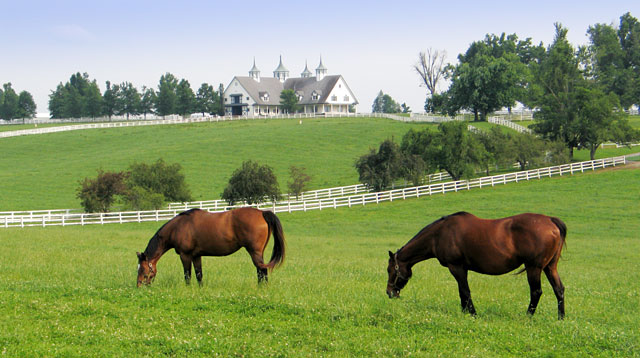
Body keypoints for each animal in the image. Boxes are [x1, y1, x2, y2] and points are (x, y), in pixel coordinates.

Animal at [137, 208, 284, 286]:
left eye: (143, 270)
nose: (139, 286)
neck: (178, 227)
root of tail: (261, 212)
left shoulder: (185, 256)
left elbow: (187, 275)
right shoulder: (196, 256)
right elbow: (199, 275)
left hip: (254, 252)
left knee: (262, 271)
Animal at [388, 211, 568, 320]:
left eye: (391, 270)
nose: (389, 292)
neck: (439, 234)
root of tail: (550, 221)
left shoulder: (456, 267)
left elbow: (465, 291)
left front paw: (472, 314)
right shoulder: (461, 269)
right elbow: (462, 292)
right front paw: (464, 312)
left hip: (534, 268)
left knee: (536, 292)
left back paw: (528, 316)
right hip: (549, 268)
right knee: (559, 289)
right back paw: (561, 318)